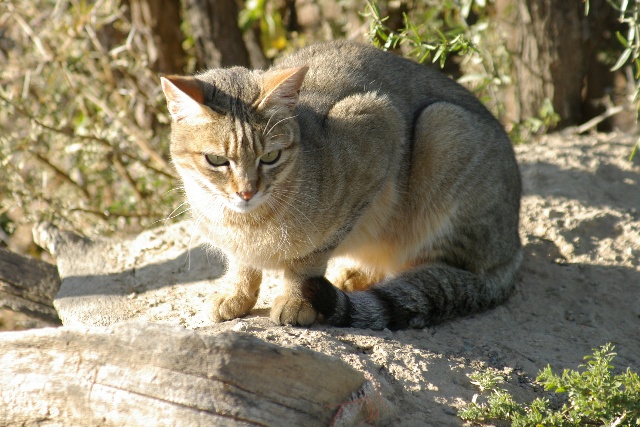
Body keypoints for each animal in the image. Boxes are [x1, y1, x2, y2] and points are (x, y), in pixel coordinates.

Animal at [161, 40, 520, 332]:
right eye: (217, 160)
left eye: (271, 157)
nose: (247, 192)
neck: (246, 223)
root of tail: (513, 247)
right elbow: (241, 263)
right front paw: (236, 293)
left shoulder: (378, 123)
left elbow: (306, 262)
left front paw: (297, 300)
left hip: (444, 129)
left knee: (435, 271)